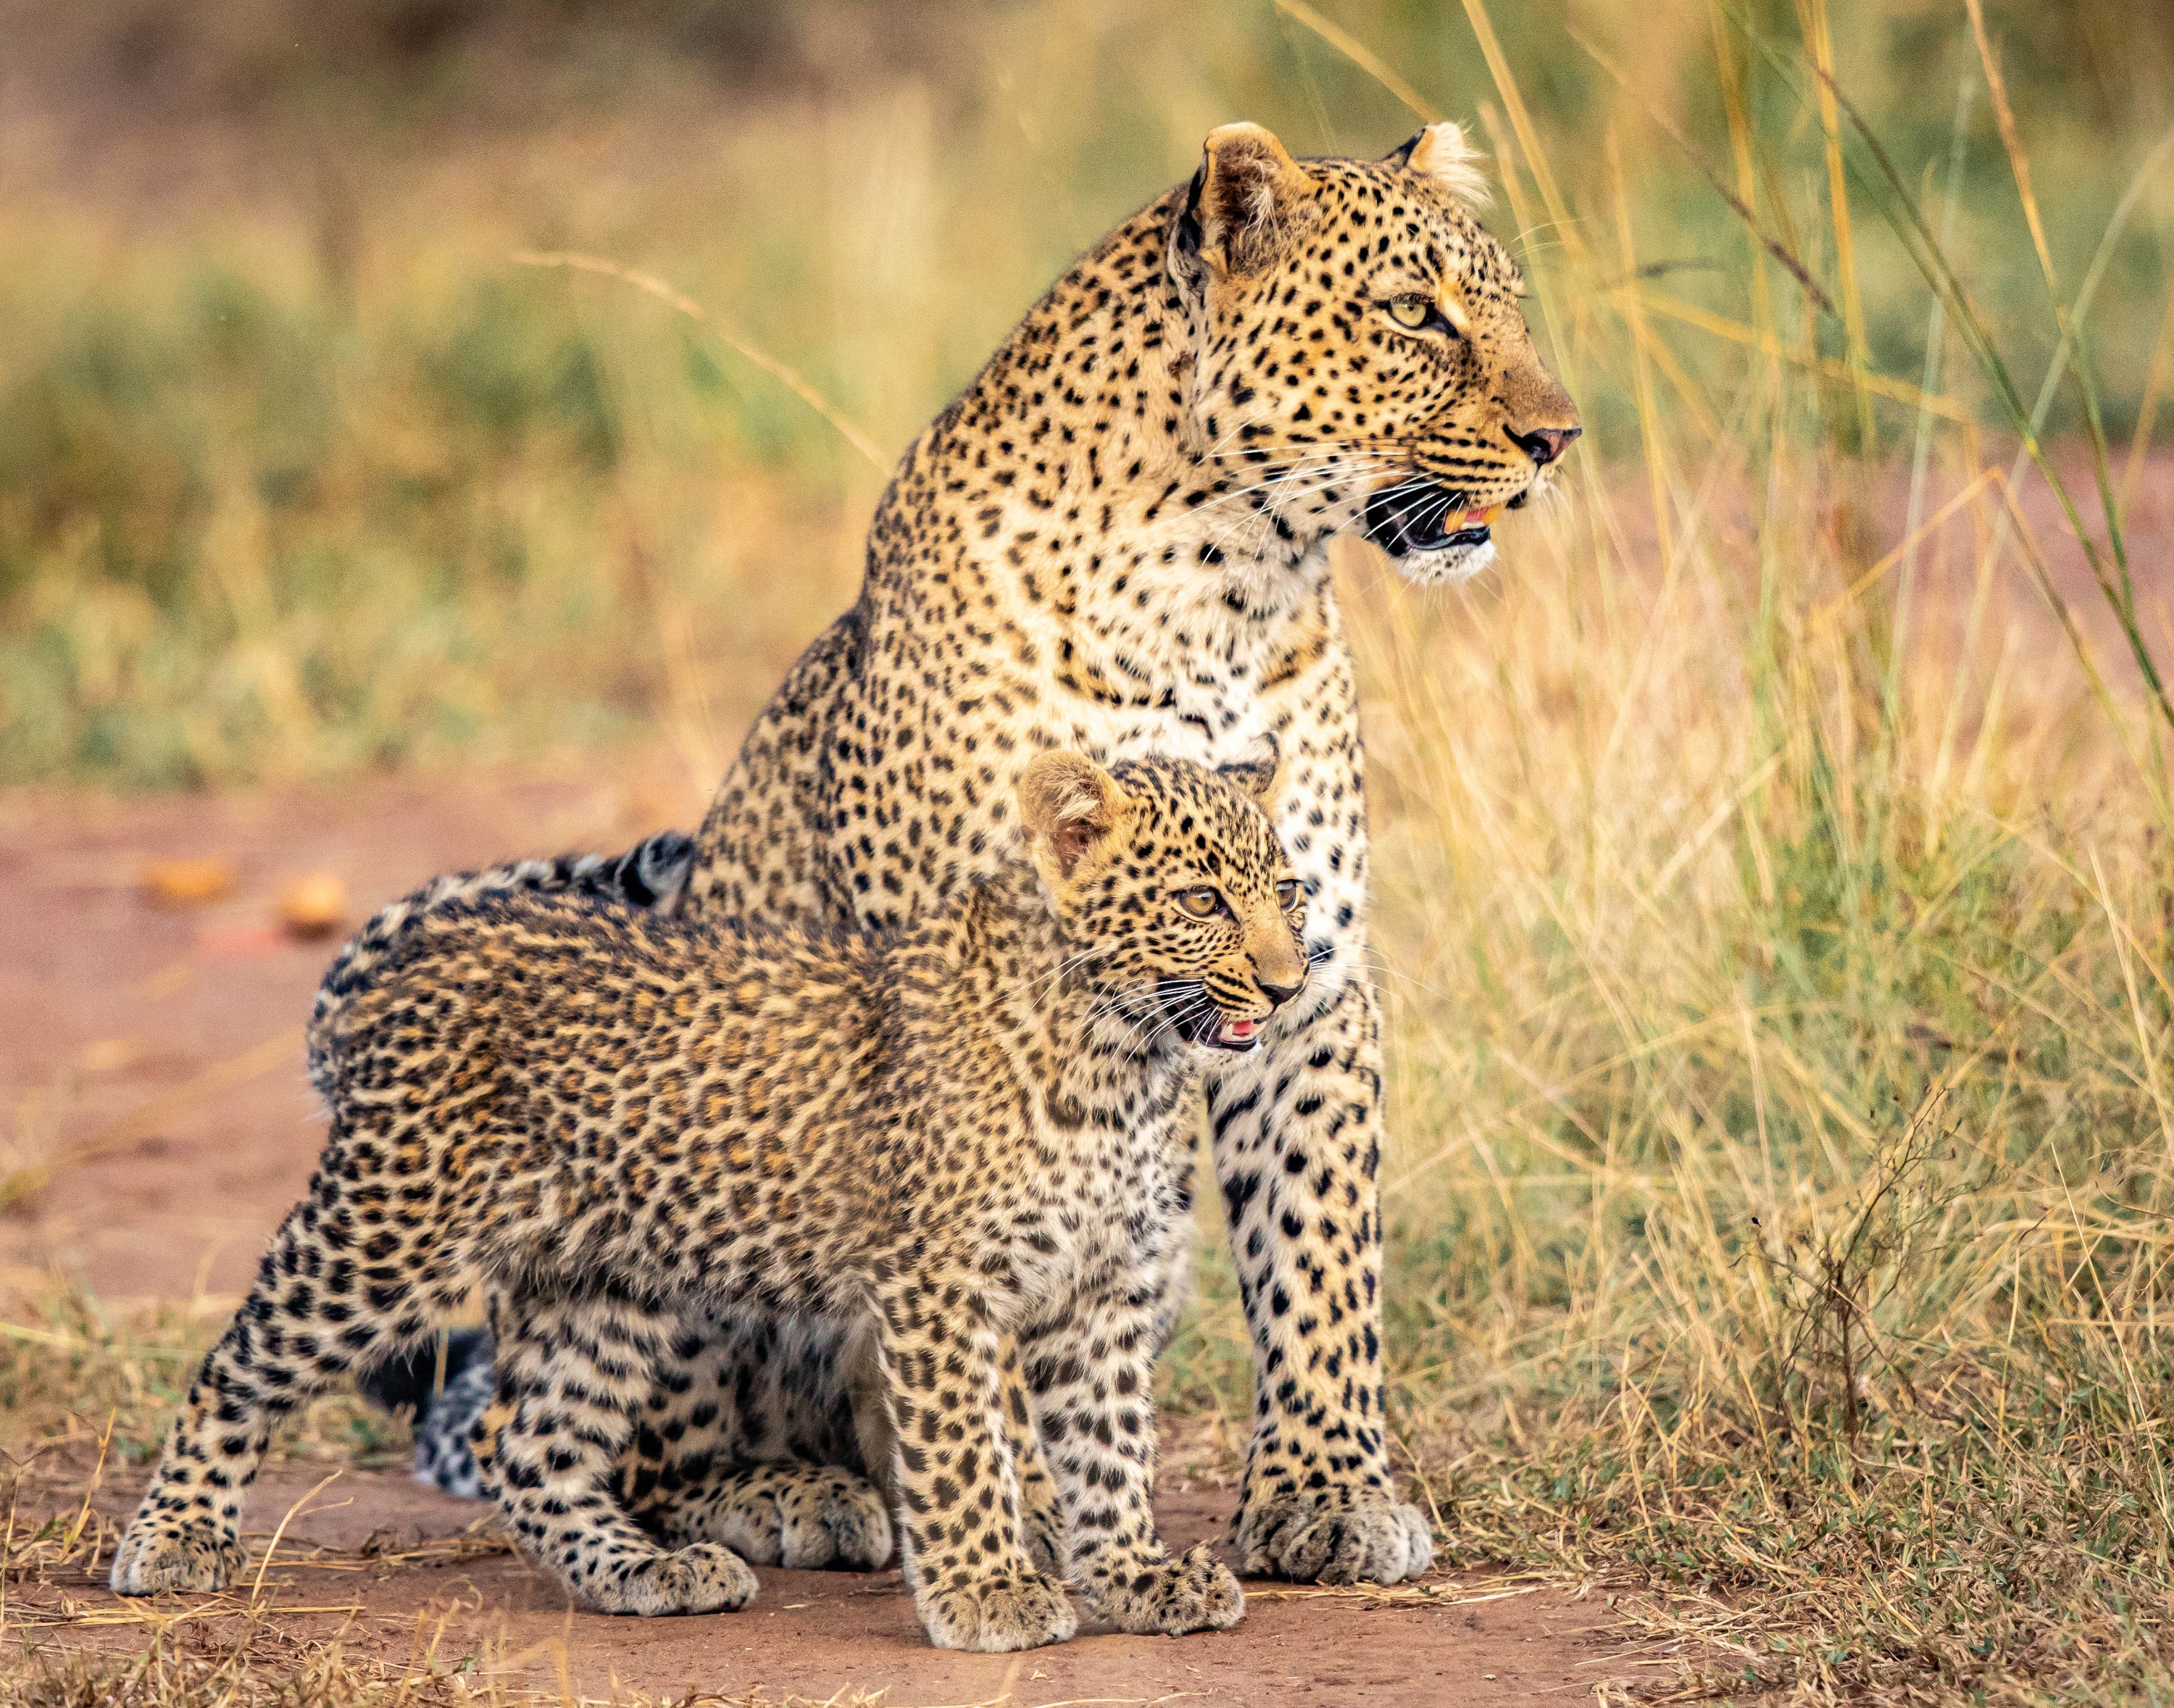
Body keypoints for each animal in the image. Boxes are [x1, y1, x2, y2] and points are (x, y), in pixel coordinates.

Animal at [357, 119, 1583, 1582]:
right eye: (1411, 314)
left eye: (1507, 305)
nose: (1560, 436)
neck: (1230, 590)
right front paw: (1026, 1521)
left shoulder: (1314, 971)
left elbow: (1321, 1252)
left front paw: (1326, 1494)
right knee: (612, 1451)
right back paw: (795, 1495)